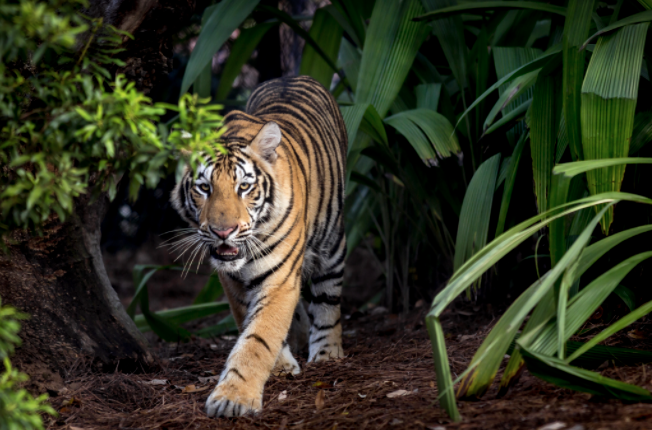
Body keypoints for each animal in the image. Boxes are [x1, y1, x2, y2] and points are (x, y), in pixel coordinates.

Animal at [171, 76, 347, 417]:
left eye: (244, 186)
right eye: (204, 188)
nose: (223, 231)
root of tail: (291, 76)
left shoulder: (279, 277)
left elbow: (258, 337)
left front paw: (233, 398)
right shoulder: (232, 280)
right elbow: (251, 324)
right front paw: (281, 365)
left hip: (332, 242)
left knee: (328, 298)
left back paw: (328, 353)